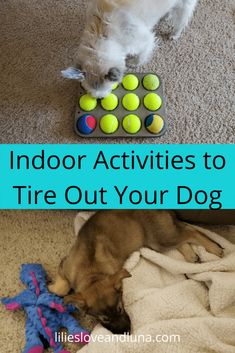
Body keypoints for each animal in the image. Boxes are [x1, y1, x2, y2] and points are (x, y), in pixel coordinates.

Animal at [48, 210, 223, 334]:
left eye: (120, 309)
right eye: (105, 319)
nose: (127, 332)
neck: (91, 275)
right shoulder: (65, 265)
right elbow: (62, 288)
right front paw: (52, 288)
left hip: (160, 238)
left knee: (192, 232)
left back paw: (215, 248)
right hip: (159, 242)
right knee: (185, 233)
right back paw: (191, 254)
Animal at [61, 0, 197, 97]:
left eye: (107, 91)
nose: (100, 99)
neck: (104, 36)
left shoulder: (145, 41)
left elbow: (141, 55)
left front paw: (134, 63)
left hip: (184, 6)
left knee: (181, 21)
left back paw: (174, 34)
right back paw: (166, 16)